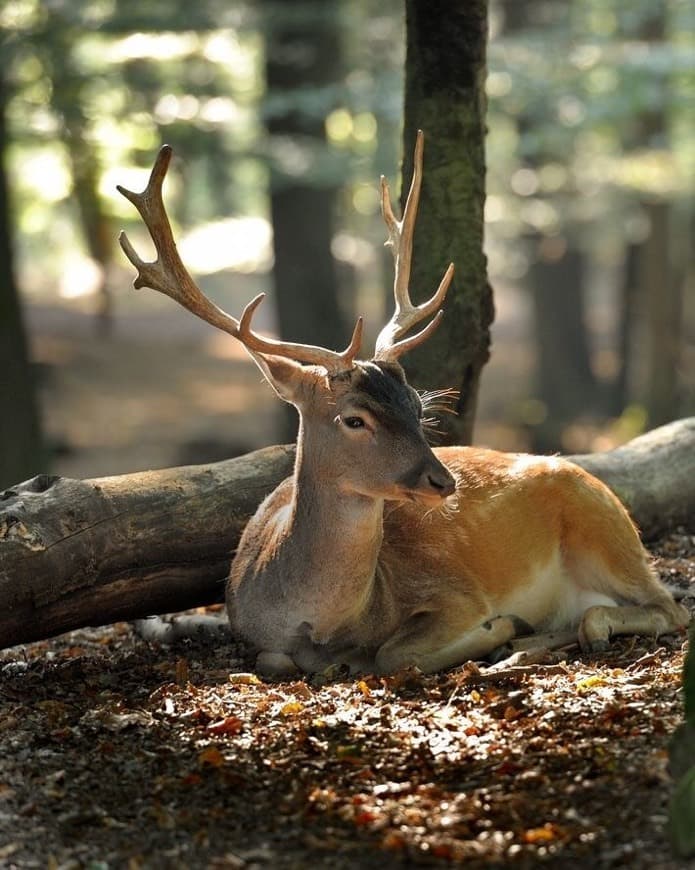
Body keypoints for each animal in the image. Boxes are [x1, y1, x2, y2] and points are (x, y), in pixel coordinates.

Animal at [117, 133, 688, 676]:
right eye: (354, 418)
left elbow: (396, 653)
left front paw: (496, 628)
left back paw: (533, 637)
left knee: (666, 608)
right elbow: (274, 660)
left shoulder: (453, 592)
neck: (321, 622)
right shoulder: (254, 635)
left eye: (416, 405)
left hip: (605, 526)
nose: (443, 482)